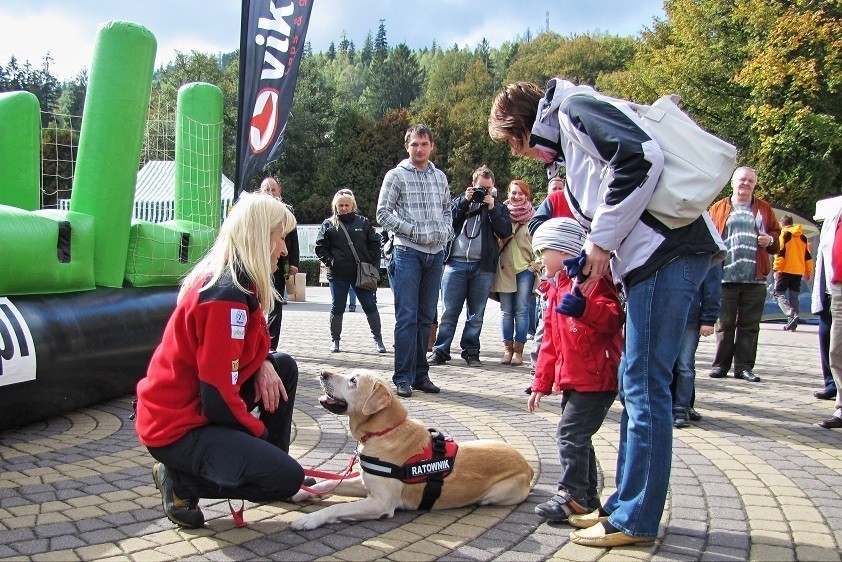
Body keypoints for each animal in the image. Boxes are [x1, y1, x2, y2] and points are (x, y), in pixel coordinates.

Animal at [290, 370, 532, 528]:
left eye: (352, 380)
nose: (323, 373)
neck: (384, 431)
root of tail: (528, 467)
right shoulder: (364, 483)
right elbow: (328, 483)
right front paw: (302, 492)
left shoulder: (381, 503)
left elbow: (337, 508)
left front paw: (309, 519)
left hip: (497, 493)